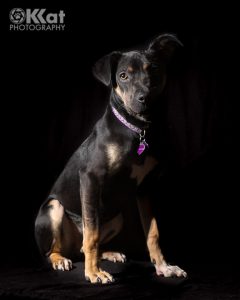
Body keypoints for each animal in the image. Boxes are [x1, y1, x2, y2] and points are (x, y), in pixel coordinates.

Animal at [34, 34, 187, 284]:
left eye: (154, 69)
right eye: (123, 76)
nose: (145, 99)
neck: (136, 130)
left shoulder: (146, 188)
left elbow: (153, 232)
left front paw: (164, 267)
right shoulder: (90, 179)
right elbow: (92, 234)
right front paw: (93, 273)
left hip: (117, 218)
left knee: (83, 247)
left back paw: (109, 254)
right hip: (53, 208)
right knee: (58, 249)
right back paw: (61, 260)